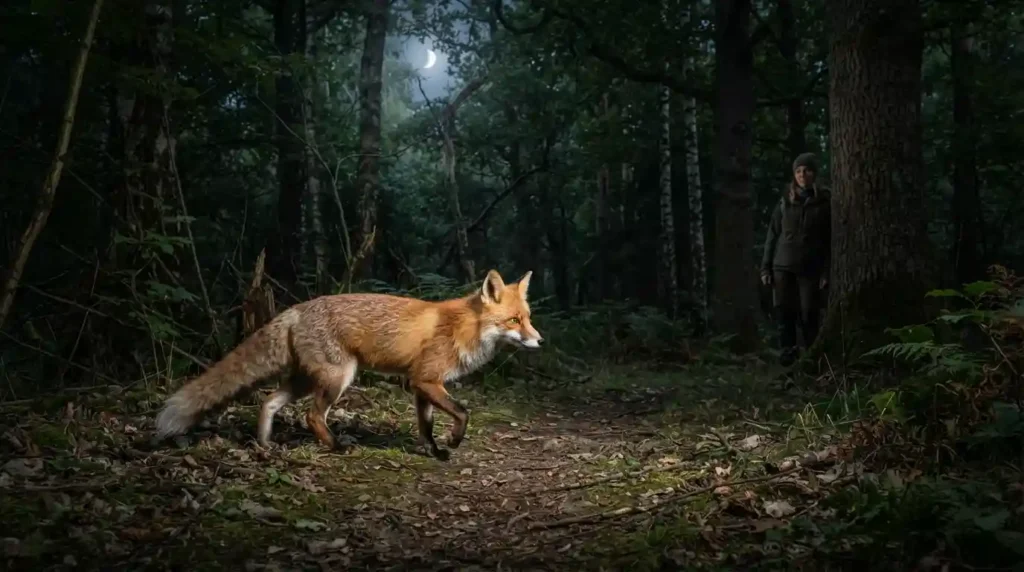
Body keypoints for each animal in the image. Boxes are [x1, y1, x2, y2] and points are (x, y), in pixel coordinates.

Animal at [153, 269, 543, 460]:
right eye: (514, 321)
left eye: (528, 318)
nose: (540, 340)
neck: (465, 326)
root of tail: (297, 308)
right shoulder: (426, 380)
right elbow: (463, 412)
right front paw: (455, 440)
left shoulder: (420, 385)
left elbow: (426, 427)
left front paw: (434, 452)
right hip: (338, 378)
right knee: (312, 416)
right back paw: (336, 446)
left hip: (307, 380)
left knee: (268, 402)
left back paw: (265, 445)